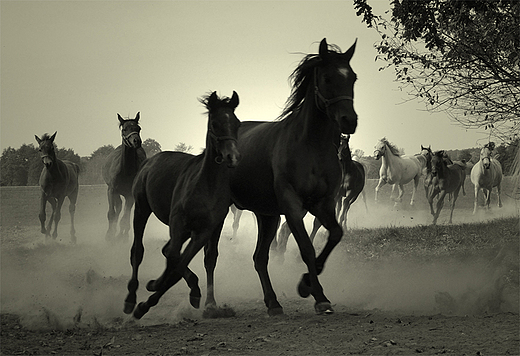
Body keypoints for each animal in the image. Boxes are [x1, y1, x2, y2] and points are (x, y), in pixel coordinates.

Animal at [102, 114, 146, 242]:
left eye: (138, 128)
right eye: (125, 129)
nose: (137, 141)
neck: (125, 171)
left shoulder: (130, 195)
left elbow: (125, 218)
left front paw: (122, 237)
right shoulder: (111, 191)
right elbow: (111, 214)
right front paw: (109, 235)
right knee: (118, 208)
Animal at [125, 92, 241, 320]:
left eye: (237, 123)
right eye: (214, 123)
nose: (232, 156)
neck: (206, 184)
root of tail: (149, 162)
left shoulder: (205, 230)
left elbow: (184, 263)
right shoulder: (178, 222)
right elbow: (174, 259)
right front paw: (148, 294)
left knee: (170, 252)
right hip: (142, 209)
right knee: (138, 251)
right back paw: (131, 299)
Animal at [207, 38, 358, 318]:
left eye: (352, 77)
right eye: (327, 77)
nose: (349, 121)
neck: (311, 146)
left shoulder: (323, 204)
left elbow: (334, 234)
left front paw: (306, 283)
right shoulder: (292, 205)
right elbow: (306, 248)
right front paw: (319, 296)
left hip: (266, 216)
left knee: (259, 258)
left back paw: (273, 302)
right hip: (222, 214)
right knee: (212, 254)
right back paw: (212, 303)